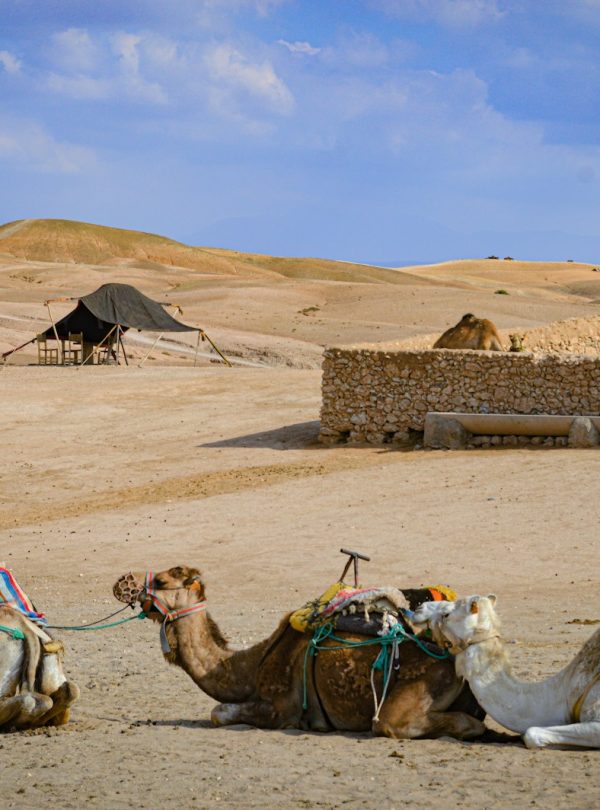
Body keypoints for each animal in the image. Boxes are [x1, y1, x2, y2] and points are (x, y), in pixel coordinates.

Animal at [112, 566, 491, 740]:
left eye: (161, 582)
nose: (122, 584)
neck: (249, 667)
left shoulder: (281, 707)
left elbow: (218, 712)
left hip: (417, 690)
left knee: (395, 722)